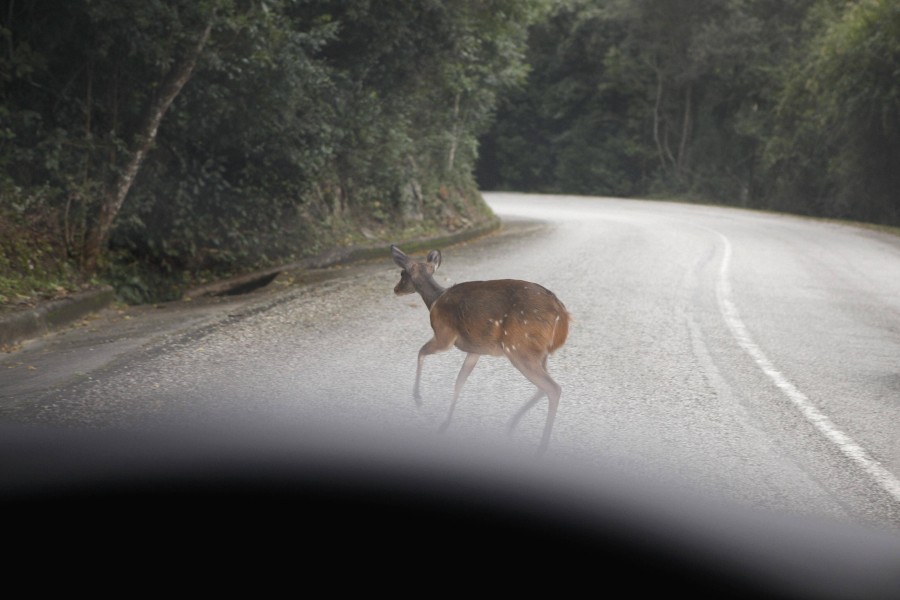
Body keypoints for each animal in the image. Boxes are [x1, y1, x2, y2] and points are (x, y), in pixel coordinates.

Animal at [388, 244, 568, 454]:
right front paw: (445, 424)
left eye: (402, 273)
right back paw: (512, 425)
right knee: (544, 387)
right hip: (538, 352)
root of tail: (563, 317)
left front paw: (418, 398)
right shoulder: (475, 350)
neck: (434, 300)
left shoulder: (444, 335)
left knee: (552, 387)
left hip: (518, 347)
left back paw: (541, 446)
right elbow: (459, 382)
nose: (396, 289)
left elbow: (421, 352)